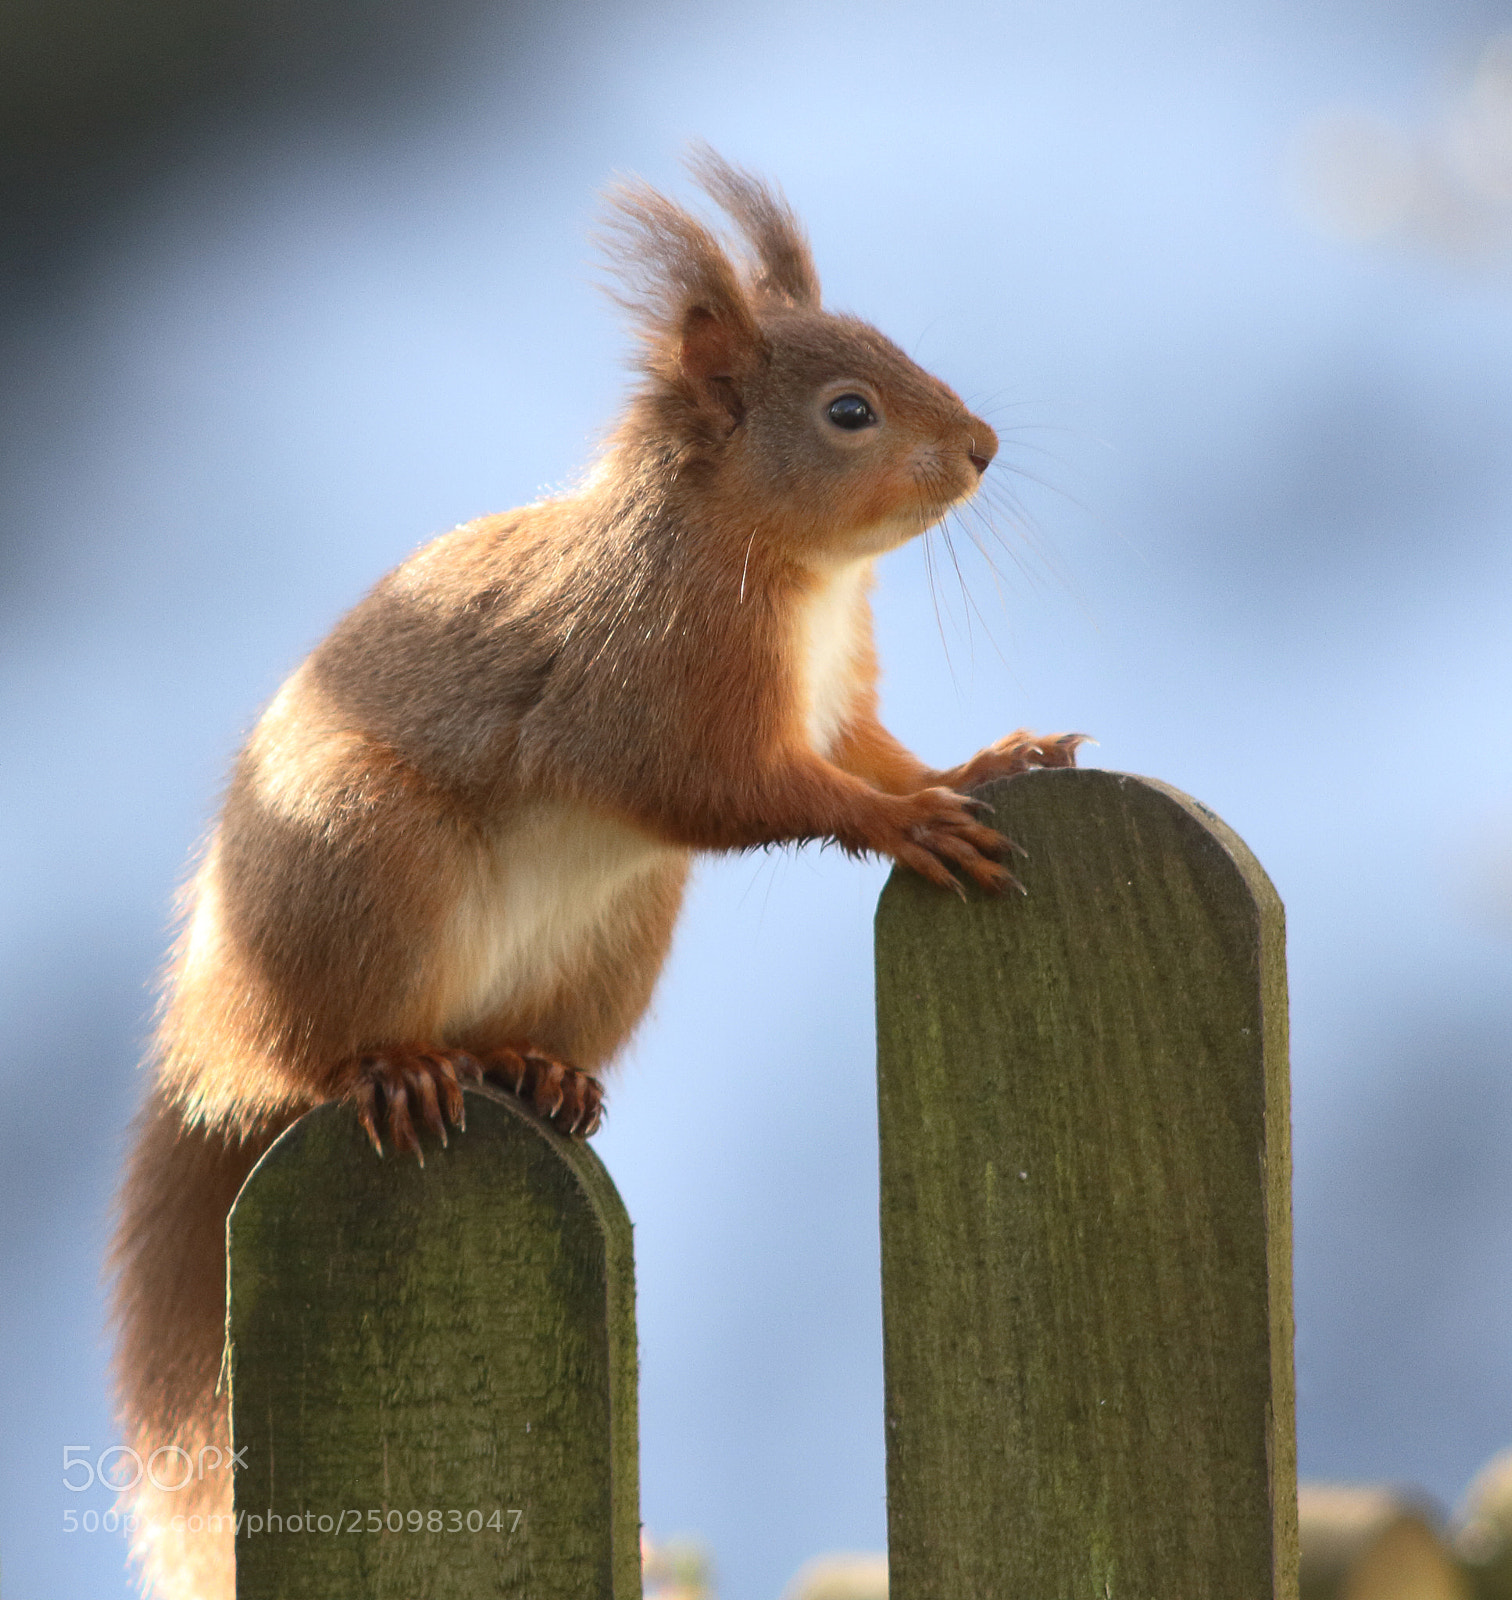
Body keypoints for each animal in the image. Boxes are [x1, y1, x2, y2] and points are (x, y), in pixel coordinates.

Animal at [108, 147, 1084, 1599]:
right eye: (848, 412)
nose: (980, 447)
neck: (788, 571)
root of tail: (202, 1024)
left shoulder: (831, 701)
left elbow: (866, 752)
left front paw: (987, 761)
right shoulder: (645, 689)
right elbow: (727, 788)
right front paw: (906, 822)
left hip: (617, 933)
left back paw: (526, 1065)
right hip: (367, 864)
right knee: (302, 1061)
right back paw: (387, 1069)